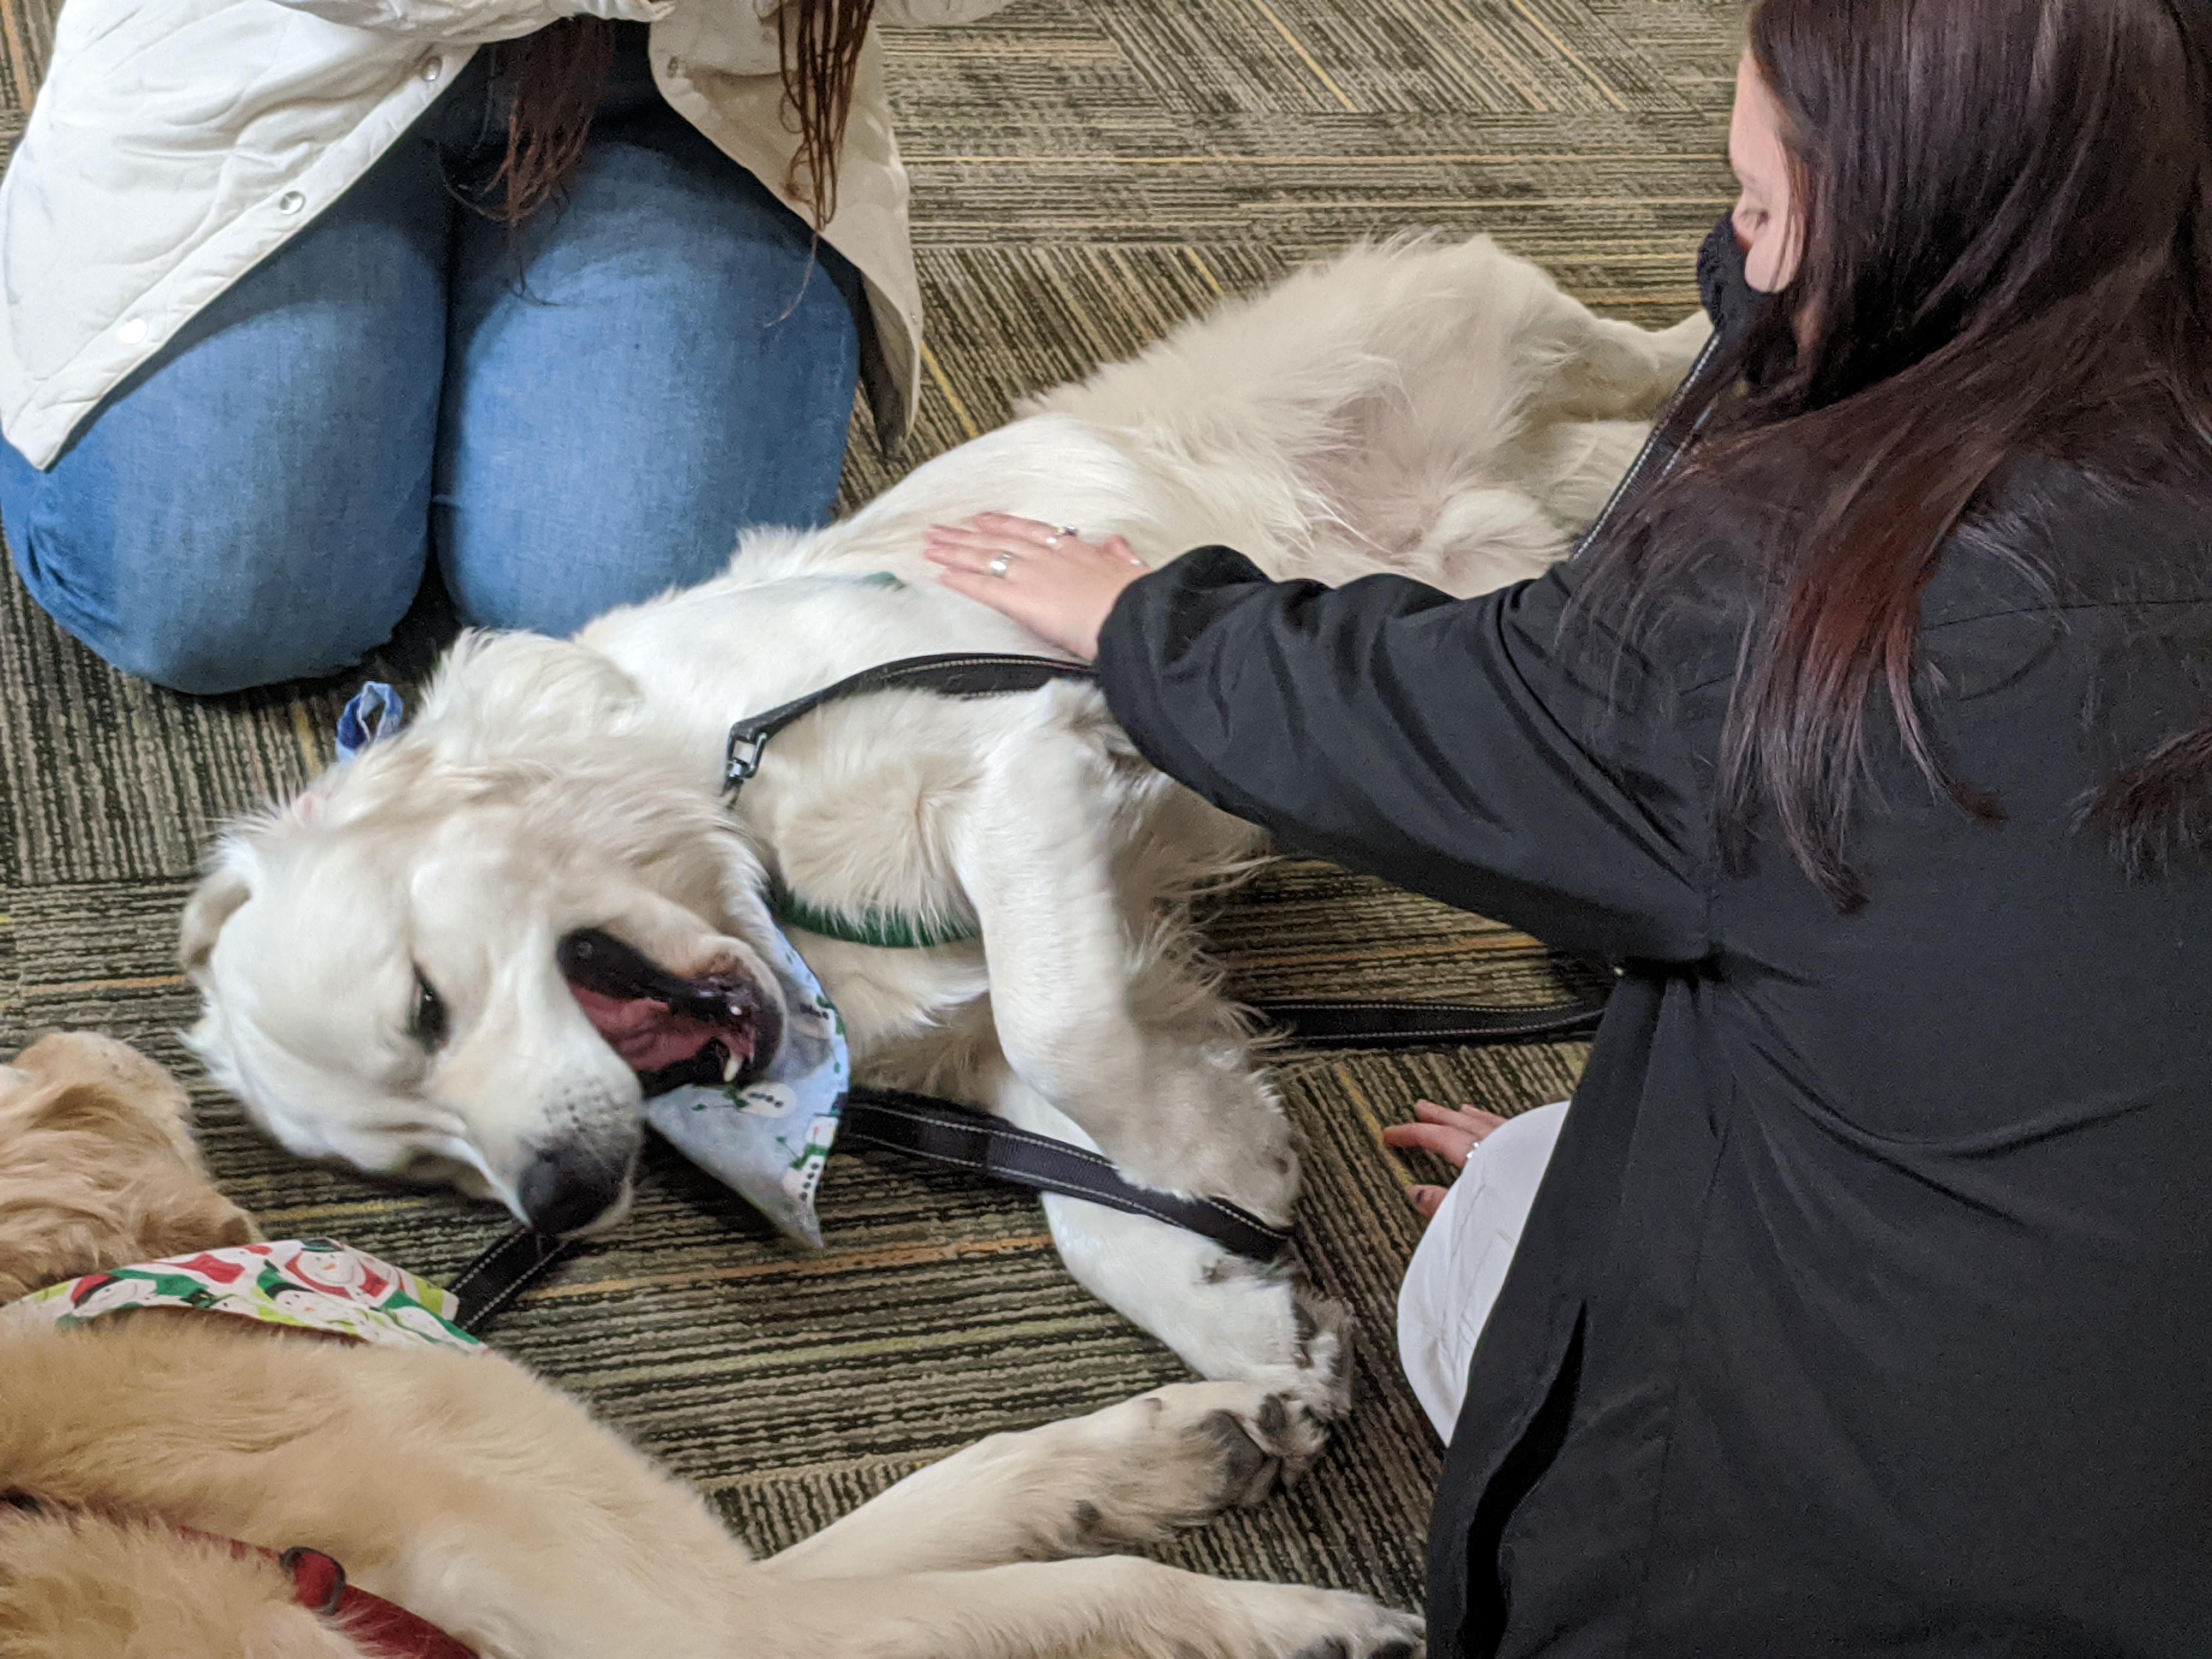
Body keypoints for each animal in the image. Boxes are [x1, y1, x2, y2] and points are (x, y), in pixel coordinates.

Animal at [0, 1039, 1415, 1659]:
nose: (109, 1031)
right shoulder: (701, 1626)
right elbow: (1093, 1590)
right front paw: (1301, 1621)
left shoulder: (674, 1576)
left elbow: (968, 1481)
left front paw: (1208, 1429)